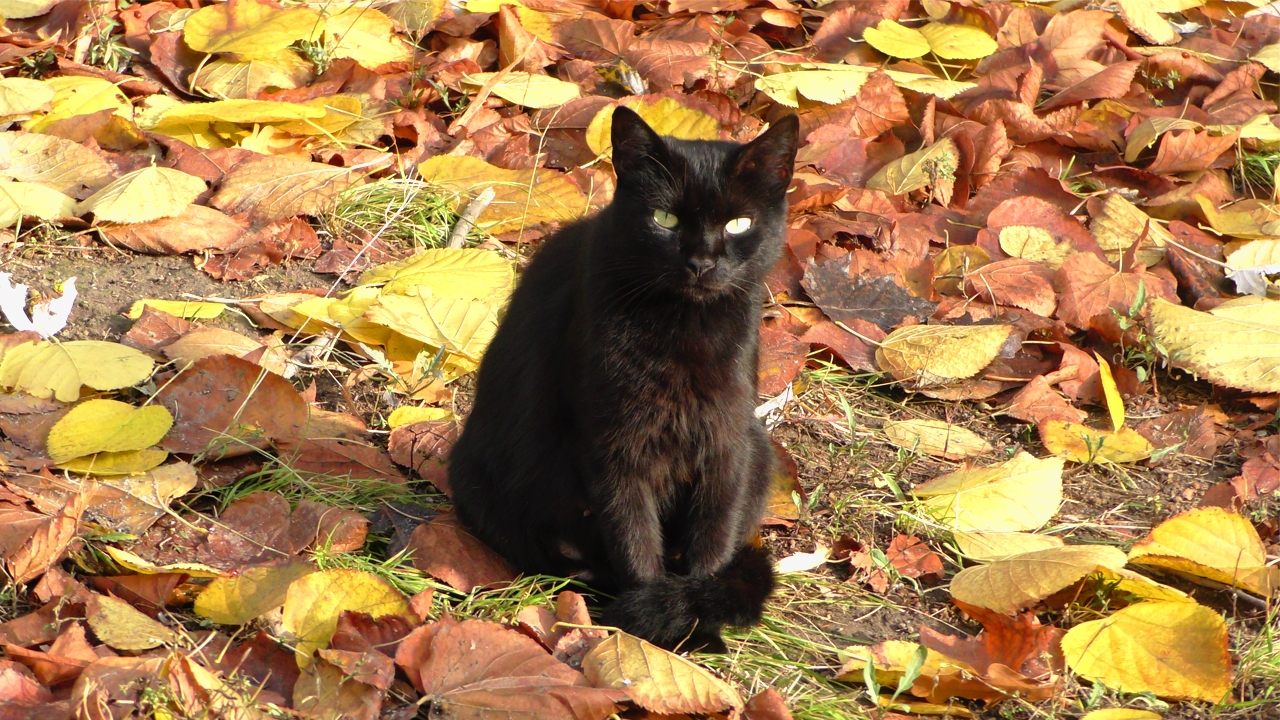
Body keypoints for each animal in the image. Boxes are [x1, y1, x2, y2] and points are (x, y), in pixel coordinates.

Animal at [445, 106, 793, 650]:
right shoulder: (615, 448)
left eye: (739, 224)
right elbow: (634, 539)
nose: (701, 262)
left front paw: (695, 626)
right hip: (477, 480)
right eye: (665, 219)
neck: (681, 328)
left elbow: (713, 537)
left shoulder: (726, 440)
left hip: (759, 449)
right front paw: (650, 632)